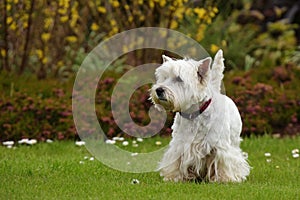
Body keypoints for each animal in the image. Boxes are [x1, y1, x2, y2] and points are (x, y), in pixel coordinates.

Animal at [150, 49, 251, 182]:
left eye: (179, 79)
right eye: (164, 77)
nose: (159, 90)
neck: (193, 115)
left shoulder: (220, 147)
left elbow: (223, 162)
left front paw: (224, 178)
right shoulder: (179, 144)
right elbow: (177, 160)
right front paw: (174, 177)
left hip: (233, 140)